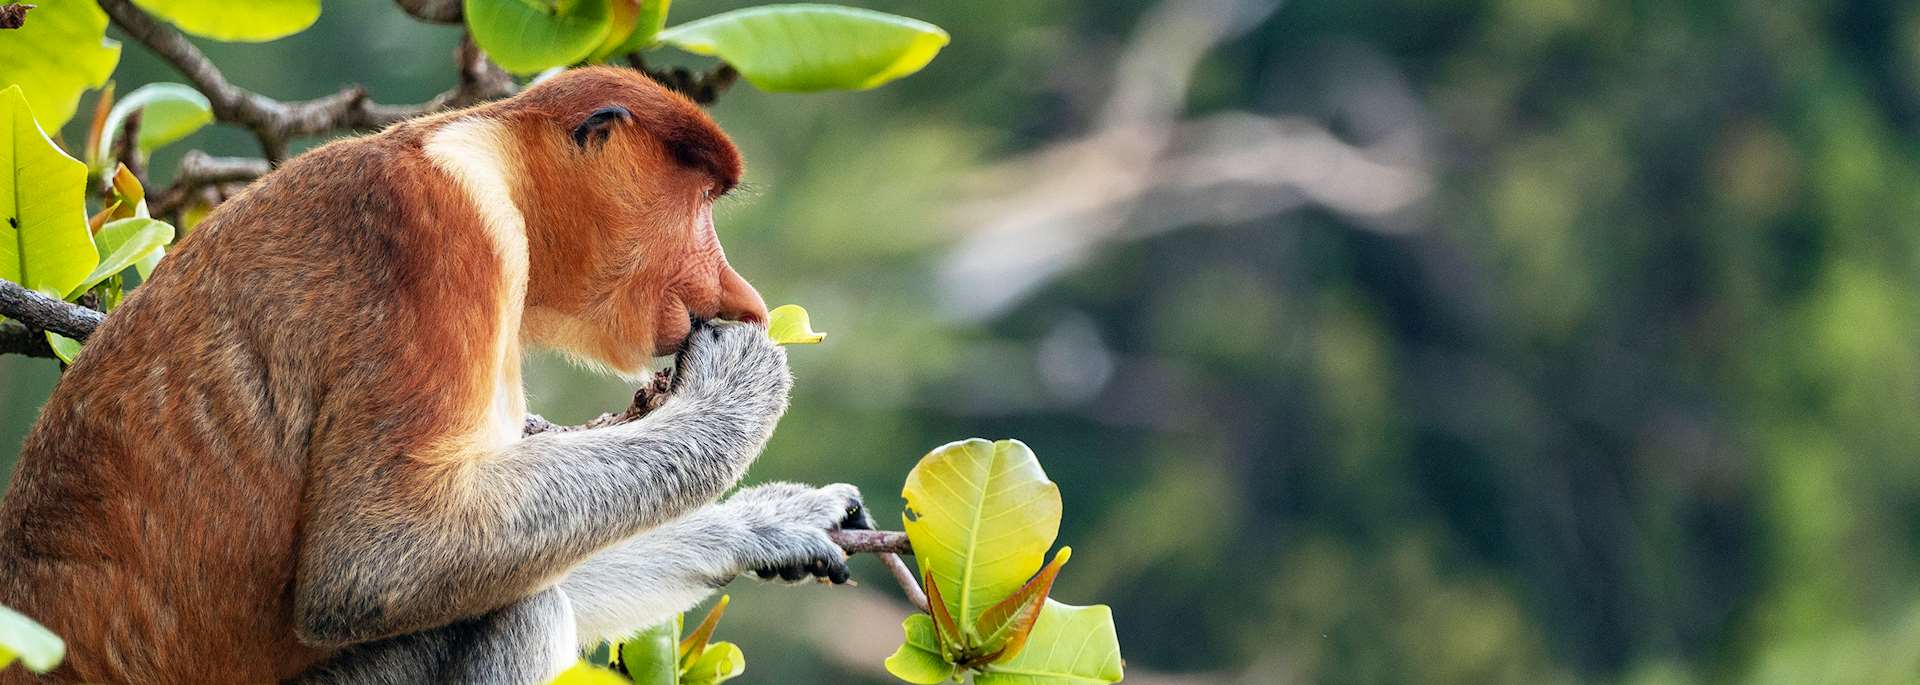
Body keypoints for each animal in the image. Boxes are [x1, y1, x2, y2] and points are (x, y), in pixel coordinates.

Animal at [0, 67, 865, 684]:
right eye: (699, 203)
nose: (744, 299)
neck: (490, 161)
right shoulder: (441, 236)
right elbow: (375, 562)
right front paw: (740, 381)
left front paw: (770, 522)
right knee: (521, 608)